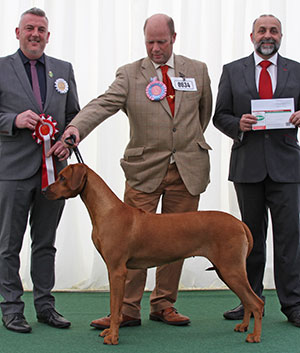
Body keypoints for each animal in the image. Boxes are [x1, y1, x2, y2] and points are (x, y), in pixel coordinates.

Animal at [44, 164, 262, 344]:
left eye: (62, 177)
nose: (45, 190)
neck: (107, 211)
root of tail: (239, 222)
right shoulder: (113, 270)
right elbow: (115, 305)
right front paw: (110, 331)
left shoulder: (117, 271)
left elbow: (115, 307)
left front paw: (113, 337)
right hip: (226, 270)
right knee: (247, 301)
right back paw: (244, 327)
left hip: (230, 269)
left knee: (256, 303)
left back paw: (255, 336)